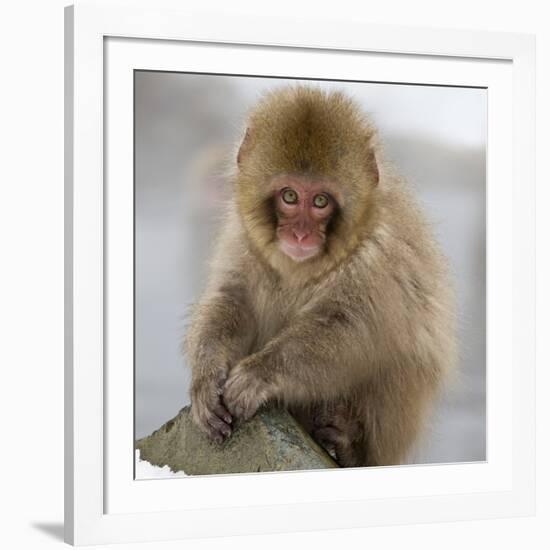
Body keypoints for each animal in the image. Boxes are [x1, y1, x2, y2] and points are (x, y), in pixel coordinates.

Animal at [183, 87, 460, 470]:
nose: (301, 235)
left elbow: (351, 331)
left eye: (320, 201)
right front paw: (207, 376)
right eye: (289, 196)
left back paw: (349, 446)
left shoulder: (377, 257)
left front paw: (261, 372)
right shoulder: (243, 239)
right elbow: (231, 298)